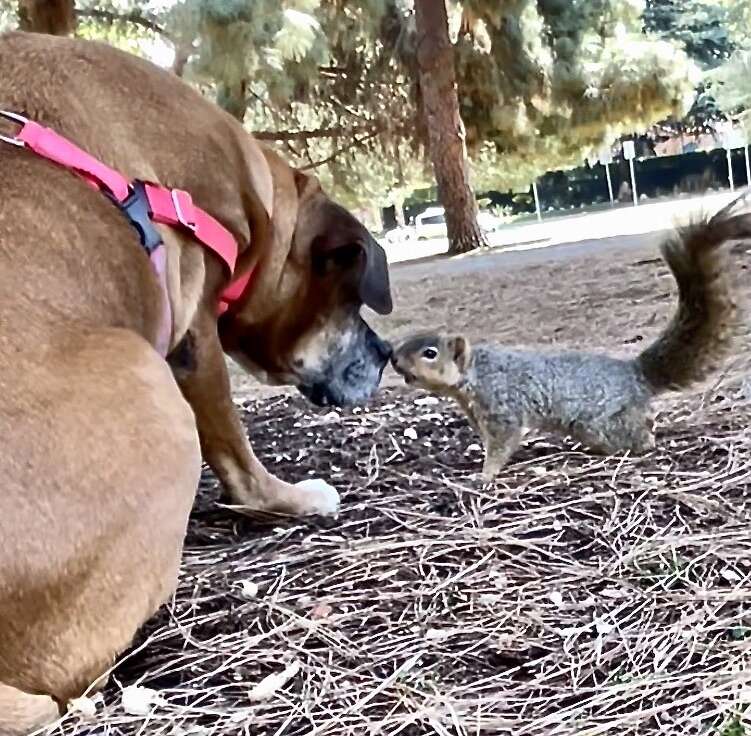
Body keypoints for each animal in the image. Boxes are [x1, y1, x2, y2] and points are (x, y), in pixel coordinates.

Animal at [1, 31, 394, 732]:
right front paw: (291, 498)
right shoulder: (194, 336)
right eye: (352, 303)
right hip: (153, 395)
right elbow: (238, 456)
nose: (386, 352)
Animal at [394, 196, 751, 480]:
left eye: (429, 353)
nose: (394, 360)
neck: (476, 373)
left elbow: (502, 443)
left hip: (601, 423)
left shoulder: (501, 406)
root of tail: (636, 374)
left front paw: (484, 476)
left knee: (640, 432)